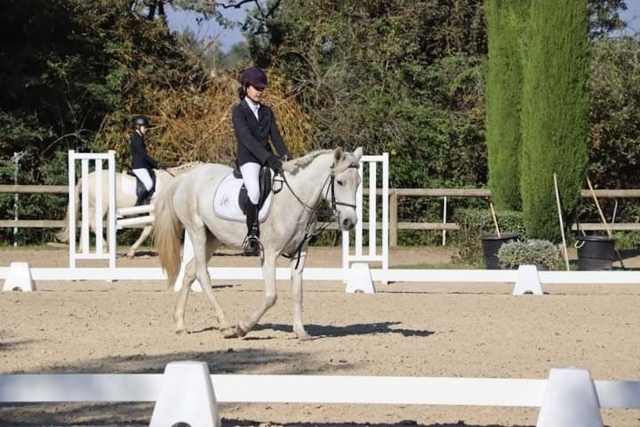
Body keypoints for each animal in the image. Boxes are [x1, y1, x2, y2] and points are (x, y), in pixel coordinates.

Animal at [56, 163, 201, 257]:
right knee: (94, 223)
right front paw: (131, 251)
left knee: (86, 223)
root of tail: (86, 178)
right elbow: (147, 231)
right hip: (101, 205)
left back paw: (82, 250)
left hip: (91, 205)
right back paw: (105, 247)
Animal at [154, 147, 363, 340]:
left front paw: (301, 332)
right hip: (197, 231)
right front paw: (243, 327)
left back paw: (180, 324)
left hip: (213, 237)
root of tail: (186, 178)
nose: (349, 222)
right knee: (202, 273)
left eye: (358, 182)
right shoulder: (269, 253)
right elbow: (271, 296)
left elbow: (297, 293)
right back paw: (226, 326)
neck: (294, 199)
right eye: (340, 182)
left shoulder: (300, 253)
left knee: (190, 270)